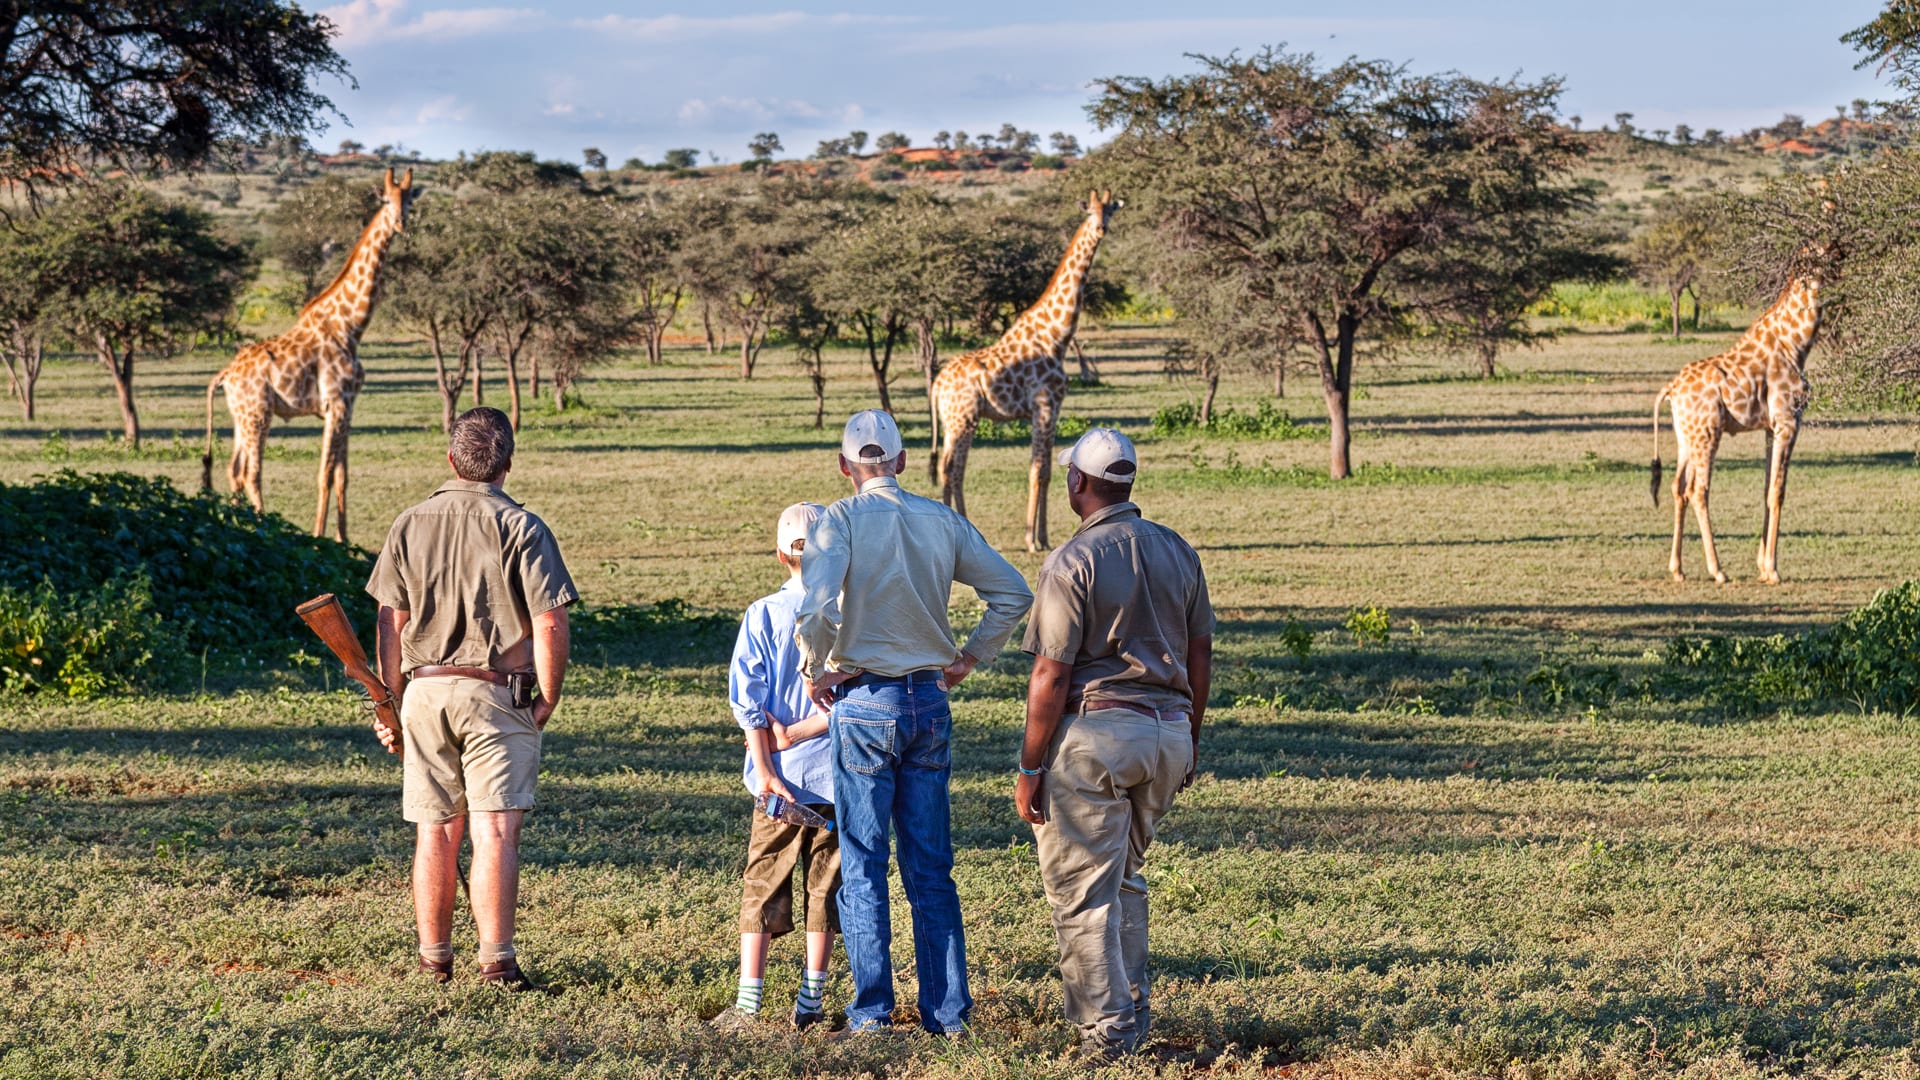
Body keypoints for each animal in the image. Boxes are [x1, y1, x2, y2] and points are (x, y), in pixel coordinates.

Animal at [200, 166, 414, 538]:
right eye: (387, 200)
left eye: (410, 199)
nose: (401, 222)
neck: (351, 325)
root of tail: (225, 375)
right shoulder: (335, 403)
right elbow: (324, 475)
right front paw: (318, 536)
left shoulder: (349, 406)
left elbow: (342, 476)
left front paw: (343, 538)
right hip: (258, 414)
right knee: (251, 473)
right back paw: (263, 527)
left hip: (242, 416)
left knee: (234, 470)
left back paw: (237, 524)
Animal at [933, 186, 1121, 549]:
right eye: (1089, 212)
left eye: (1110, 211)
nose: (1102, 229)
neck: (1057, 334)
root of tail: (936, 384)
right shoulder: (1043, 404)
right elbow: (1037, 469)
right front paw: (1031, 539)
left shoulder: (1054, 407)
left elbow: (1047, 470)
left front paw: (1044, 536)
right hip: (963, 419)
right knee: (953, 469)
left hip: (952, 421)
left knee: (946, 467)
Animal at [1651, 263, 1827, 580]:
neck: (1796, 345)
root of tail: (1671, 389)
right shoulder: (1789, 421)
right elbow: (1778, 491)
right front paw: (1772, 570)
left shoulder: (1770, 427)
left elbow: (1766, 489)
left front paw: (1762, 567)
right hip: (1707, 433)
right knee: (1698, 490)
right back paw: (1718, 570)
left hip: (1686, 437)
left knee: (1678, 487)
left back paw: (1677, 569)